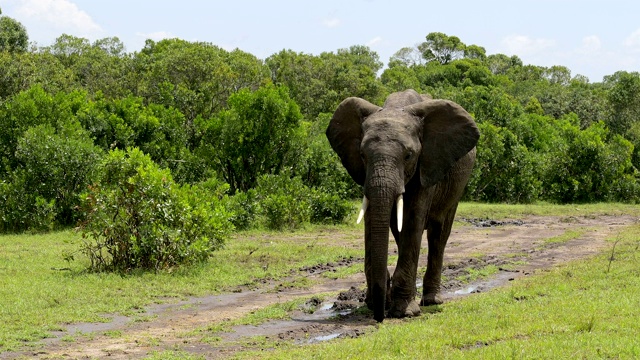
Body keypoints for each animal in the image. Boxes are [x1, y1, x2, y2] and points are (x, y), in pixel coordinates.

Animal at [328, 88, 478, 322]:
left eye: (408, 155)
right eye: (362, 155)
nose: (378, 317)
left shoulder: (427, 163)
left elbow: (413, 218)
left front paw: (404, 312)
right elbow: (372, 219)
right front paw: (377, 303)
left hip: (457, 185)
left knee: (438, 234)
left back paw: (432, 301)